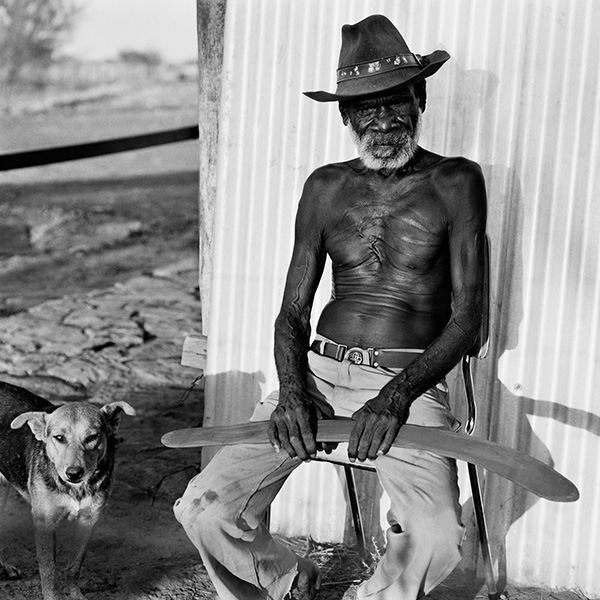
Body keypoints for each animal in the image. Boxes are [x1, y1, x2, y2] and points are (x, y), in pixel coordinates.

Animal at [0, 382, 135, 596]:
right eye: (59, 438)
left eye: (92, 437)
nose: (74, 473)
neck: (75, 489)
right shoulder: (44, 522)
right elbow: (48, 572)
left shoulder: (88, 520)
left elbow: (74, 568)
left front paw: (75, 595)